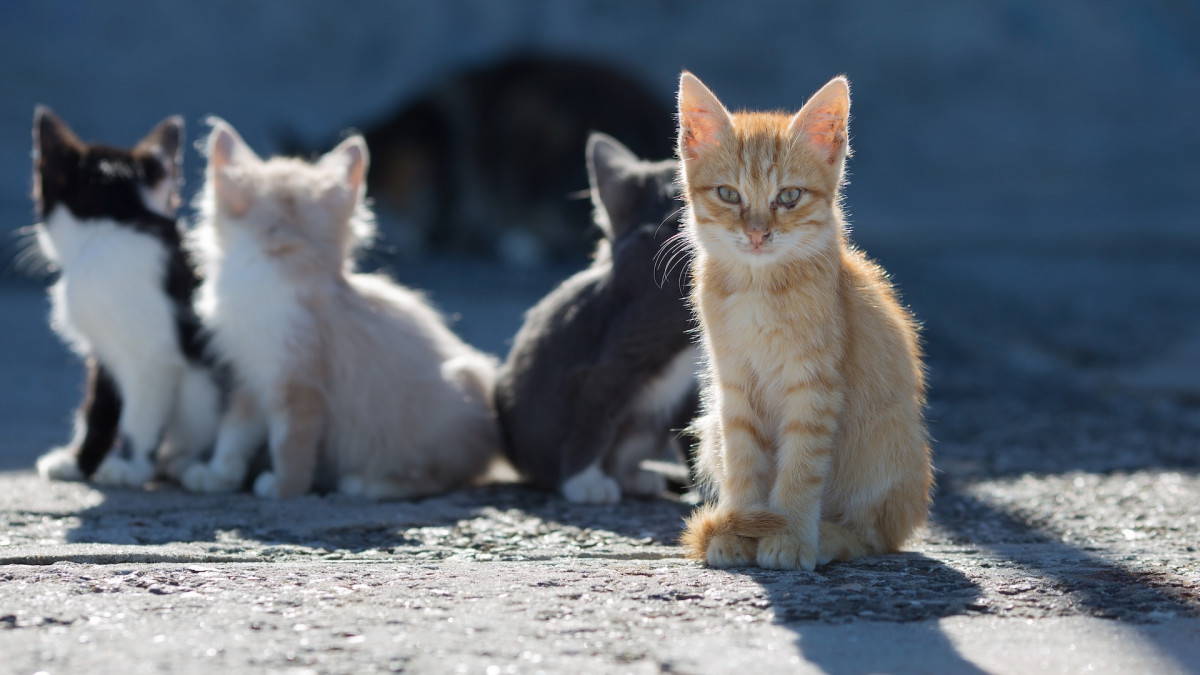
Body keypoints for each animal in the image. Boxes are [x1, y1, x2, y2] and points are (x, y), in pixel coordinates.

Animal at [34, 106, 223, 482]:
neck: (114, 226)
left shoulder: (153, 358)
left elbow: (139, 414)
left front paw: (130, 465)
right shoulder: (104, 350)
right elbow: (99, 406)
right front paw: (78, 461)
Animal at [181, 119, 496, 499]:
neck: (279, 265)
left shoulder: (298, 381)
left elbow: (289, 441)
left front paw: (286, 486)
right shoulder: (250, 374)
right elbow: (235, 428)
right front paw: (219, 474)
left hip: (454, 398)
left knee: (440, 477)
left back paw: (372, 483)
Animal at [681, 72, 931, 566]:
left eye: (789, 196)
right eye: (728, 194)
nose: (758, 233)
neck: (758, 287)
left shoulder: (815, 385)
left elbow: (800, 466)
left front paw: (791, 536)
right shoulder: (732, 386)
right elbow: (743, 463)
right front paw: (739, 528)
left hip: (887, 437)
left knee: (877, 536)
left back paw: (828, 538)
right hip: (712, 422)